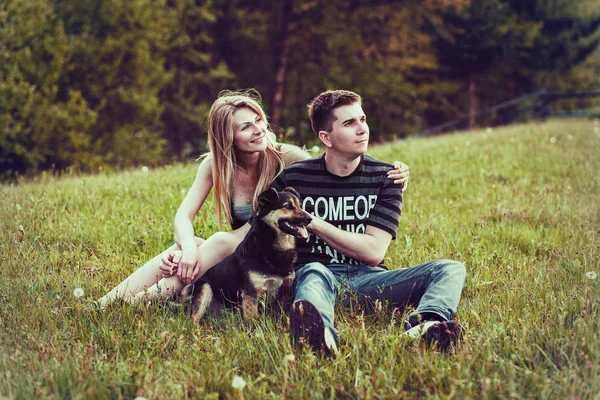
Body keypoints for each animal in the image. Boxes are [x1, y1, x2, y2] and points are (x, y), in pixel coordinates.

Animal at [180, 186, 312, 324]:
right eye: (287, 206)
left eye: (300, 205)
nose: (310, 219)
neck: (269, 244)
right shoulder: (250, 294)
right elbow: (253, 320)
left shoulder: (284, 291)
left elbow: (281, 315)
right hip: (204, 290)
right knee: (194, 319)